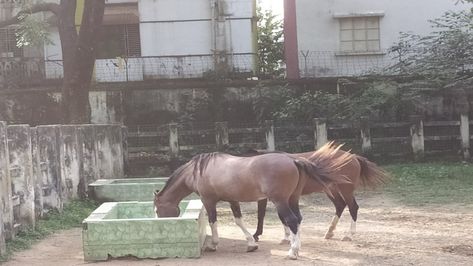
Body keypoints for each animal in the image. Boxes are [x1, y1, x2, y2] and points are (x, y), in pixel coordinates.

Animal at [153, 150, 352, 260]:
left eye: (157, 209)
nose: (158, 223)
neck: (198, 171)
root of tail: (294, 160)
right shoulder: (232, 200)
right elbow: (239, 221)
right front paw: (251, 243)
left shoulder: (208, 201)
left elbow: (213, 222)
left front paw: (213, 245)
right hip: (292, 199)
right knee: (298, 220)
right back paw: (296, 248)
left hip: (281, 201)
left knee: (292, 220)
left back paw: (292, 252)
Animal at [247, 142, 388, 242]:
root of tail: (353, 157)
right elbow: (279, 216)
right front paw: (286, 237)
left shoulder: (272, 197)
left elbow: (263, 215)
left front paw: (257, 235)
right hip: (331, 189)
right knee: (340, 205)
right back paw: (329, 232)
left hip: (345, 189)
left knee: (353, 207)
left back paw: (349, 235)